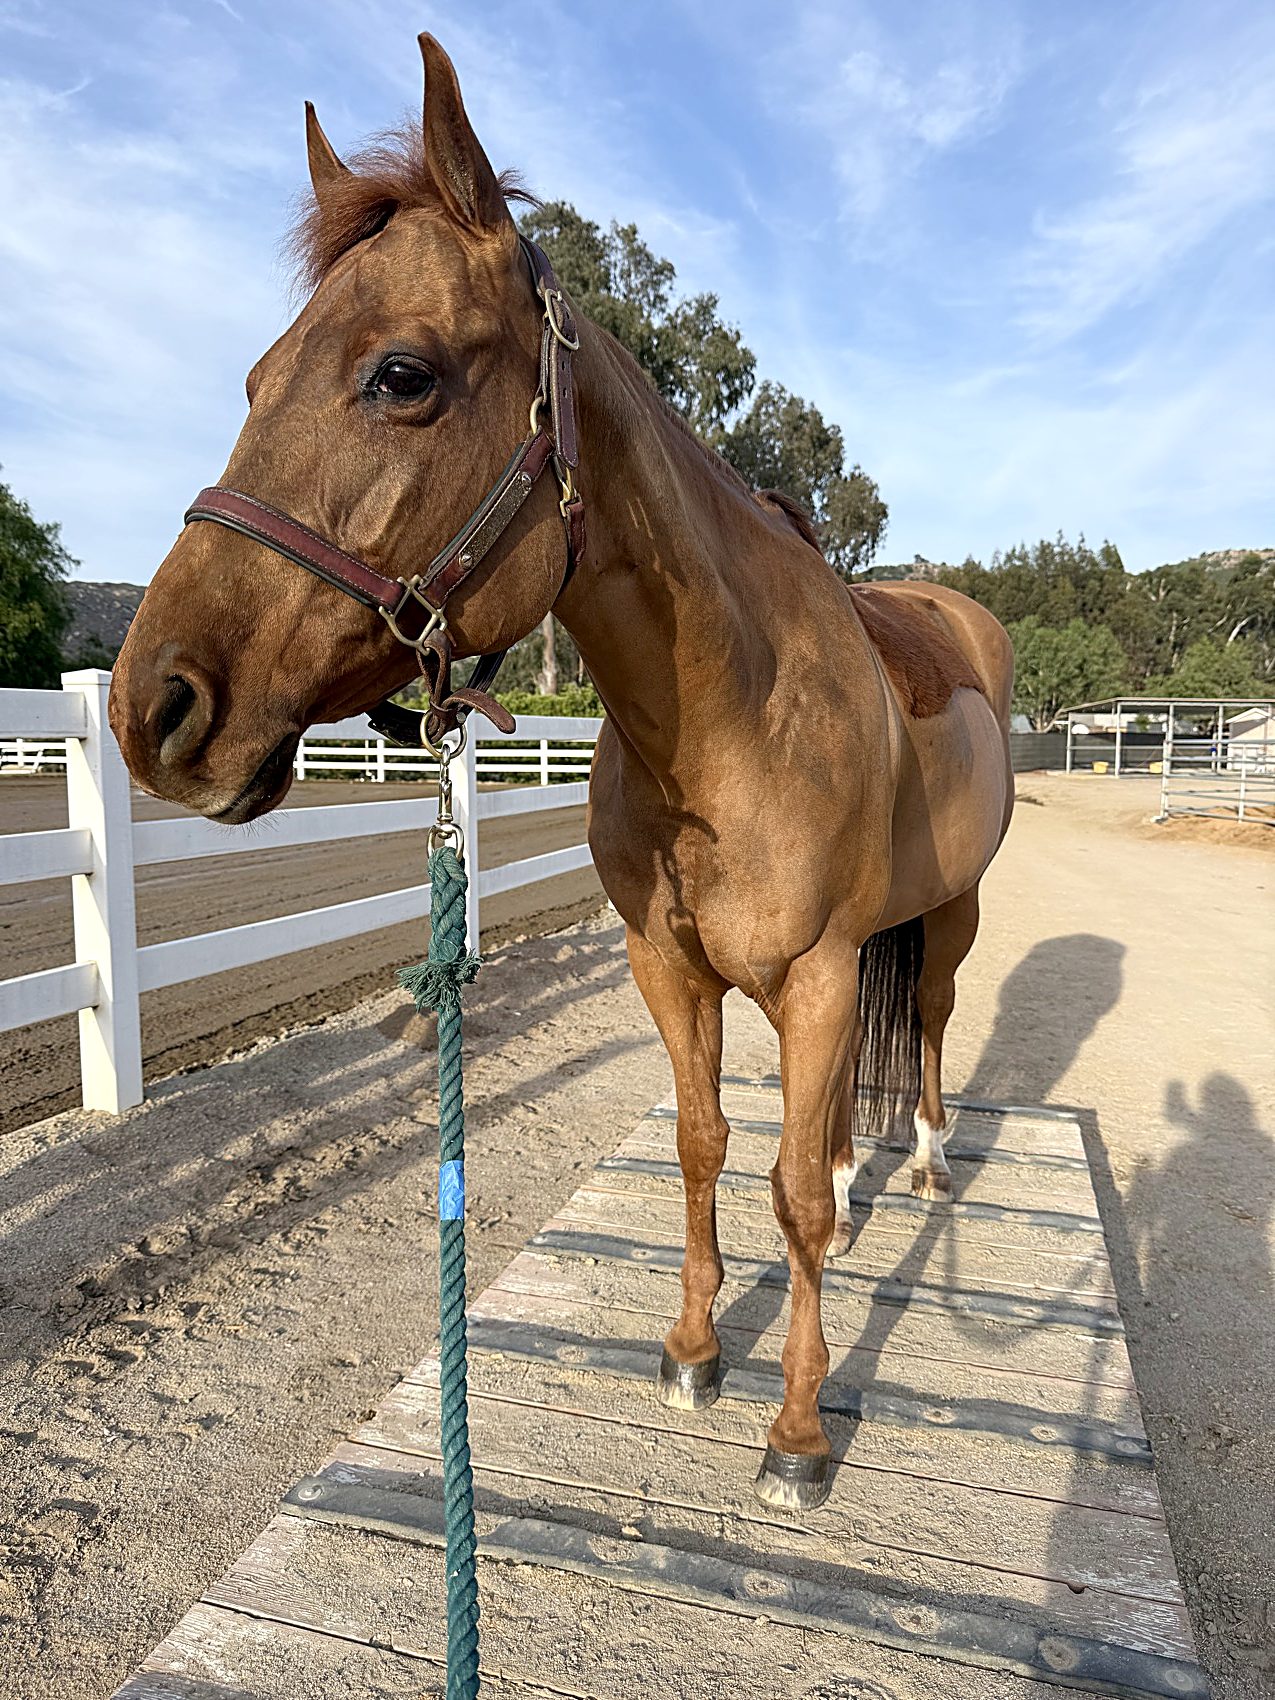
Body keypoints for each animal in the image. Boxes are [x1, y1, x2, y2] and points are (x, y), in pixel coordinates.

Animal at [109, 33, 1014, 1511]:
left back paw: (928, 1160)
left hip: (945, 916)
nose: (155, 707)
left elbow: (791, 1198)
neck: (728, 720)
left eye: (401, 374)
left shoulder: (824, 970)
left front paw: (796, 1433)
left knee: (929, 1026)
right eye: (252, 380)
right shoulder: (671, 970)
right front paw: (697, 1350)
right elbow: (711, 1146)